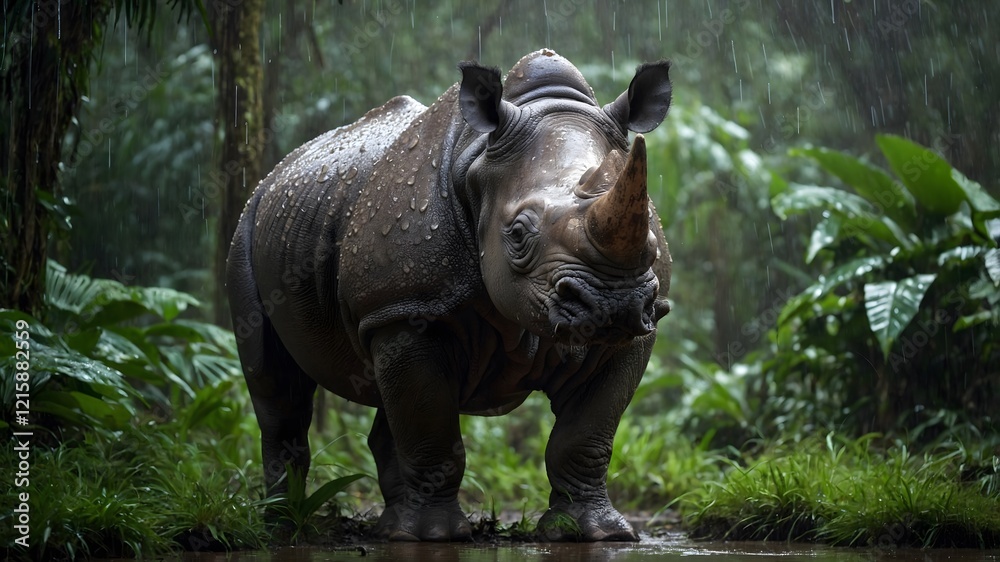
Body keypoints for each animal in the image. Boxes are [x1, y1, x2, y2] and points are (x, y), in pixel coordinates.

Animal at [227, 49, 673, 542]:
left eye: (652, 241)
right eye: (518, 235)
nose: (613, 305)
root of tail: (278, 172)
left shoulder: (633, 332)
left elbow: (585, 436)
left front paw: (595, 534)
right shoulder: (406, 305)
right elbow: (431, 429)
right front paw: (436, 536)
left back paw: (389, 528)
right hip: (248, 227)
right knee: (277, 389)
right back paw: (283, 526)